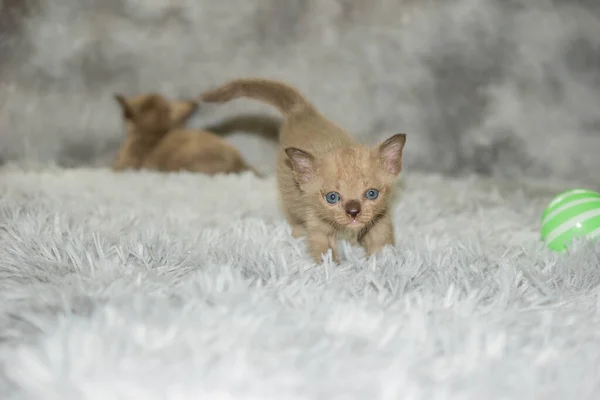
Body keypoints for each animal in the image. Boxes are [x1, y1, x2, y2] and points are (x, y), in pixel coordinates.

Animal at [199, 79, 406, 264]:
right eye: (332, 197)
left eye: (372, 194)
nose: (353, 212)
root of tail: (303, 112)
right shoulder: (317, 224)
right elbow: (326, 254)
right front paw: (334, 270)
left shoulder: (380, 218)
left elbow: (382, 242)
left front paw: (382, 261)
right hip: (288, 197)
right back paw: (297, 231)